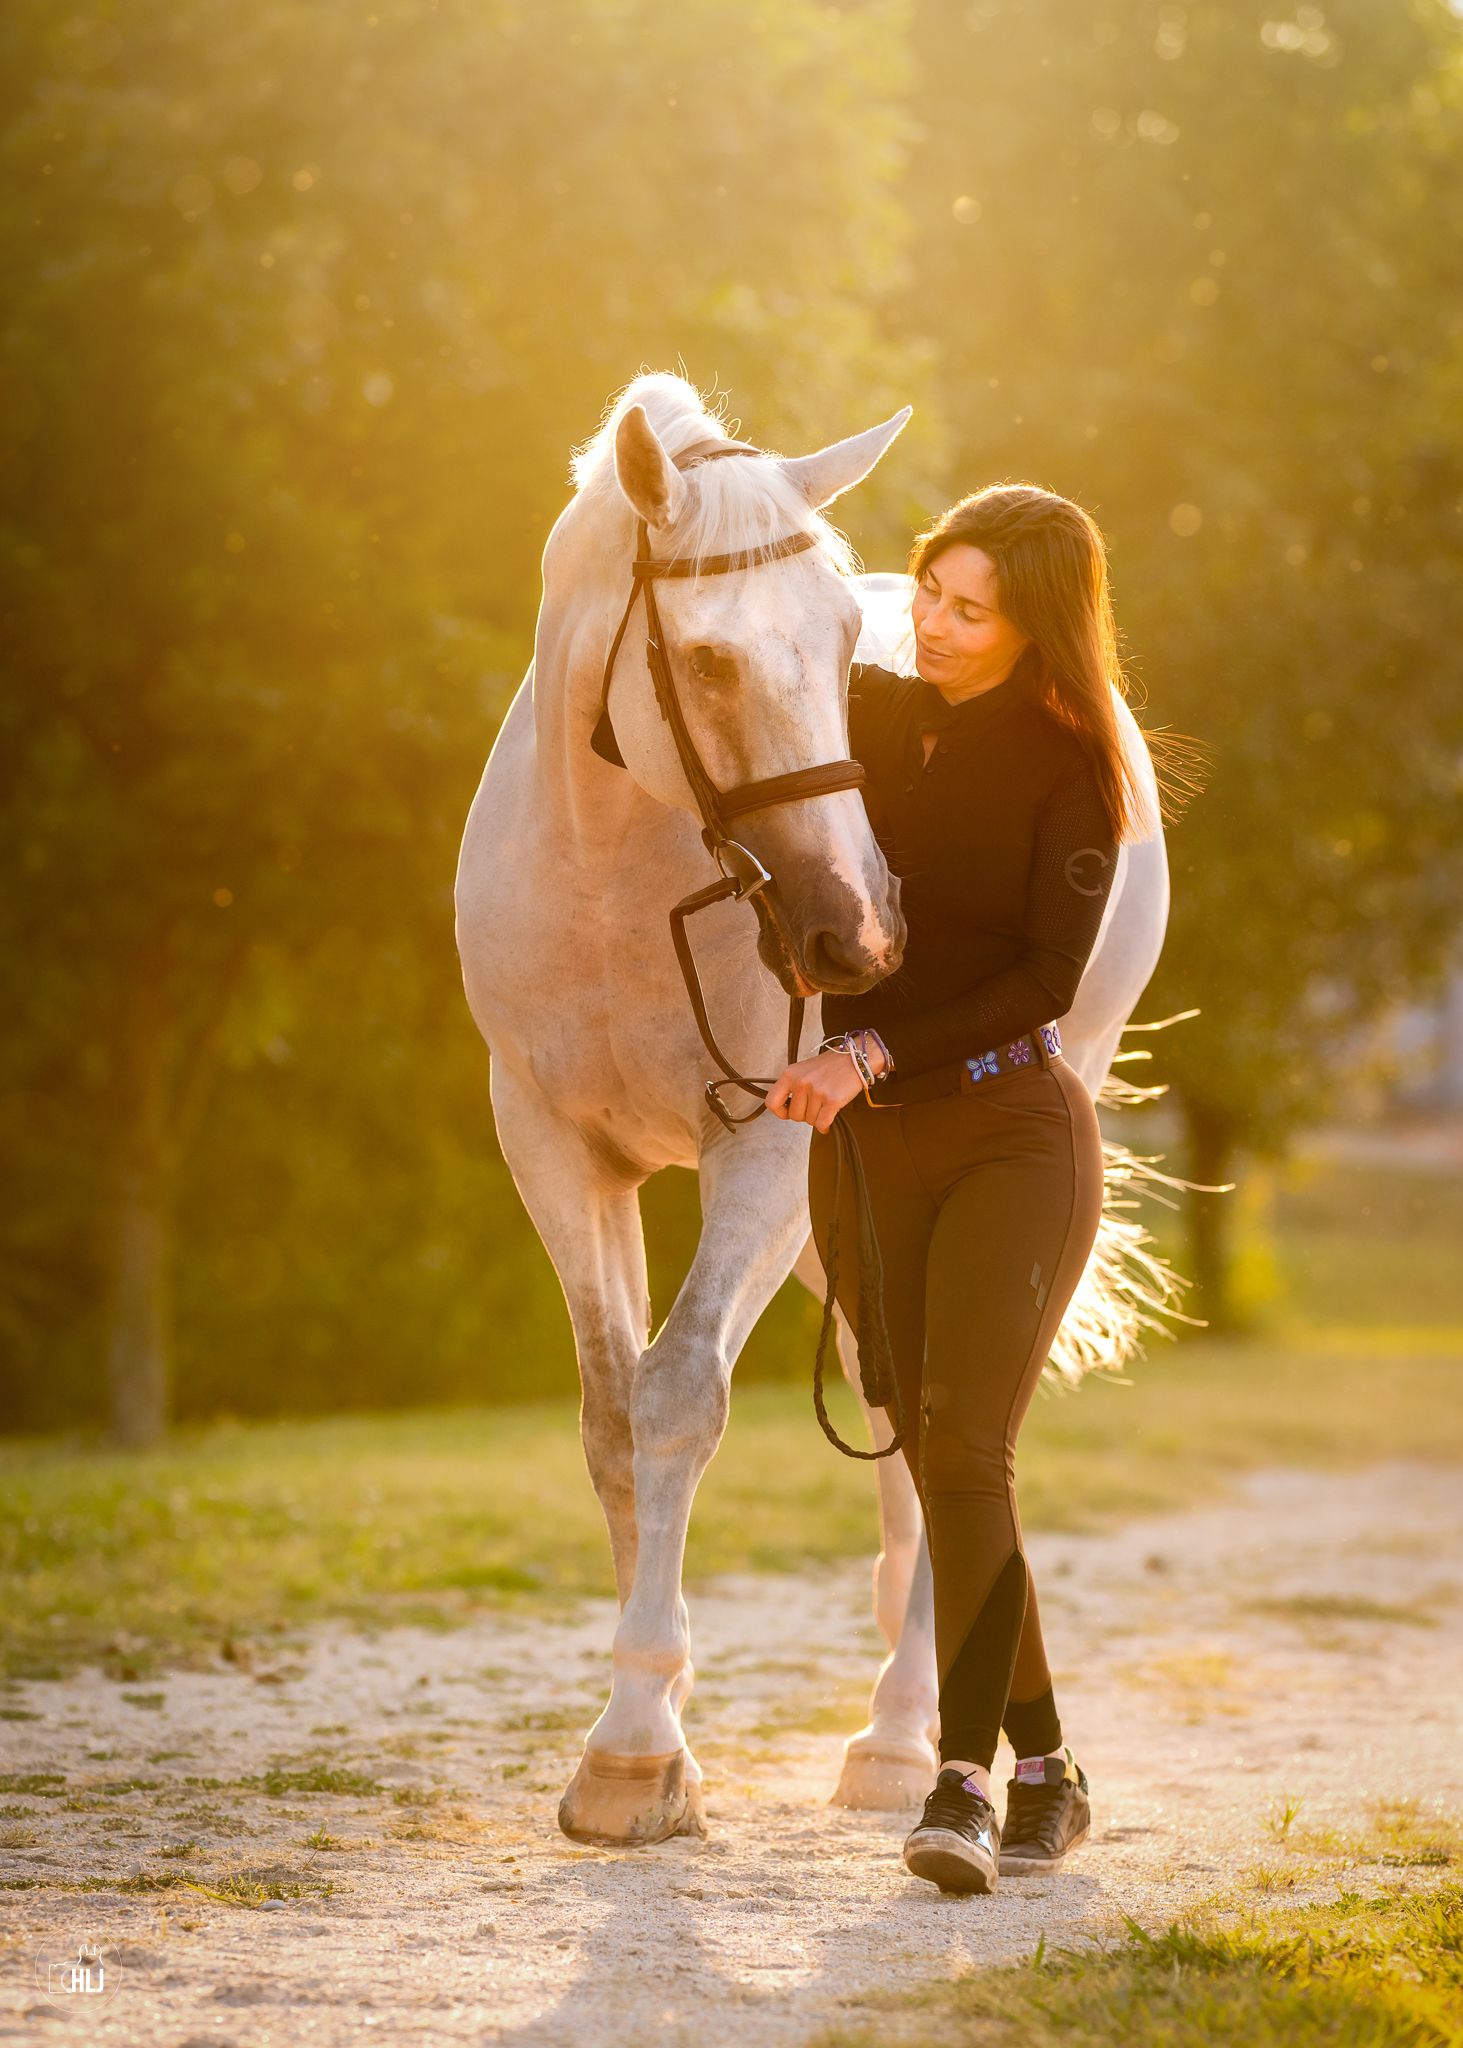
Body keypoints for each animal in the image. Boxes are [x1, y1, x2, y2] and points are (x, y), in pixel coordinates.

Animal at [455, 372, 1177, 1846]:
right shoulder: (554, 1151)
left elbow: (679, 1394)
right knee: (902, 1398)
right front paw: (657, 1729)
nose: (861, 934)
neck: (612, 882)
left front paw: (632, 1749)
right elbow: (610, 1417)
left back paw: (903, 1740)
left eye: (849, 644)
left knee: (944, 1421)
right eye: (710, 663)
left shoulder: (764, 1149)